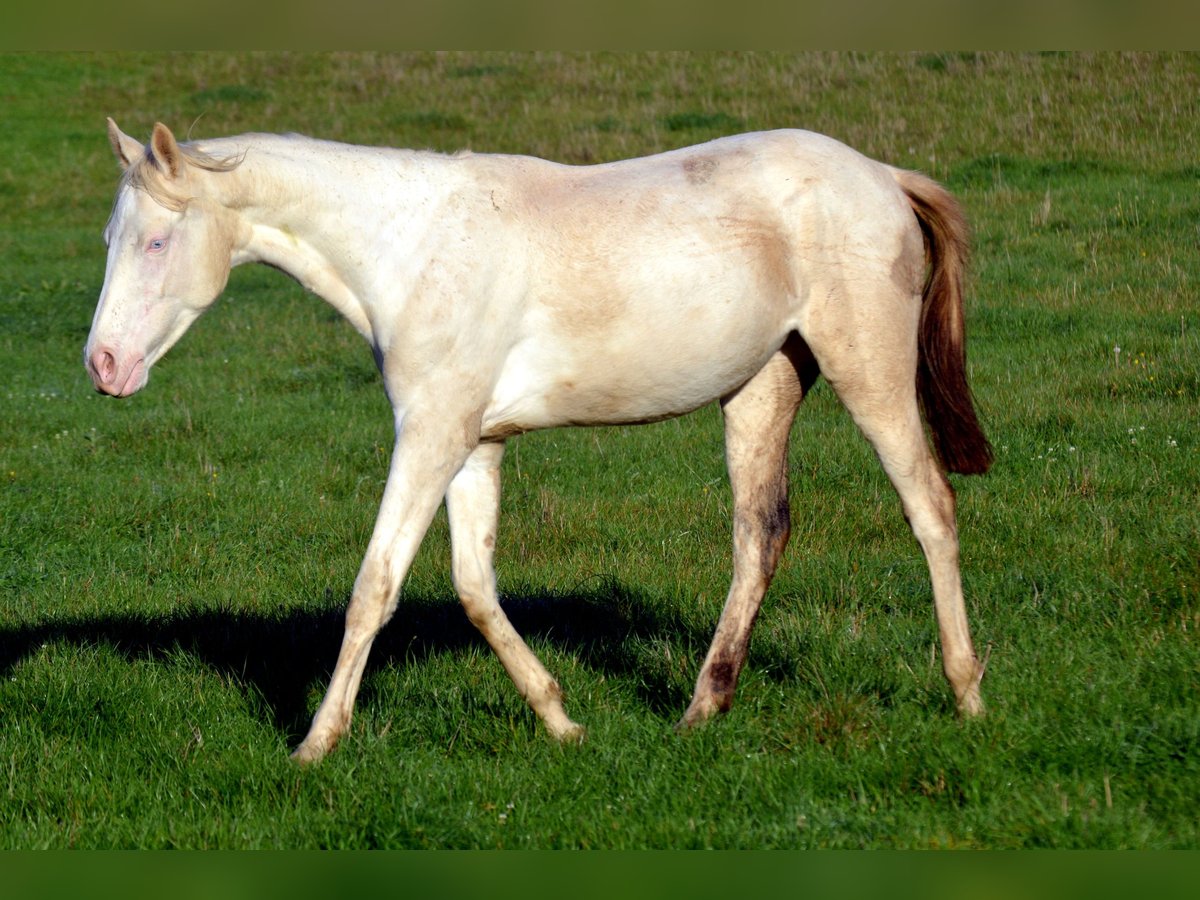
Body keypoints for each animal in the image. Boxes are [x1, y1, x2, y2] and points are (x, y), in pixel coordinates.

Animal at [84, 120, 988, 763]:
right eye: (109, 239)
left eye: (157, 241)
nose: (103, 365)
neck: (411, 247)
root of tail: (883, 176)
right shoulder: (473, 446)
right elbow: (475, 587)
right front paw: (563, 722)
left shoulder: (431, 436)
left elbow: (375, 585)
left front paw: (315, 743)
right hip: (762, 391)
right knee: (759, 537)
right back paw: (701, 710)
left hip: (869, 376)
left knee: (931, 510)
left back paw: (966, 694)